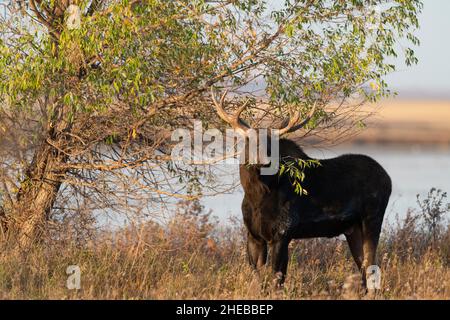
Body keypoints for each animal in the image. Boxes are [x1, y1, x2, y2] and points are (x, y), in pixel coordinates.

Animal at [211, 89, 390, 288]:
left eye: (271, 144)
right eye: (250, 141)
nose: (263, 161)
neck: (256, 197)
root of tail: (387, 178)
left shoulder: (282, 232)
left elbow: (276, 278)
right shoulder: (254, 235)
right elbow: (257, 279)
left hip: (372, 219)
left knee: (372, 267)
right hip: (352, 228)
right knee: (364, 268)